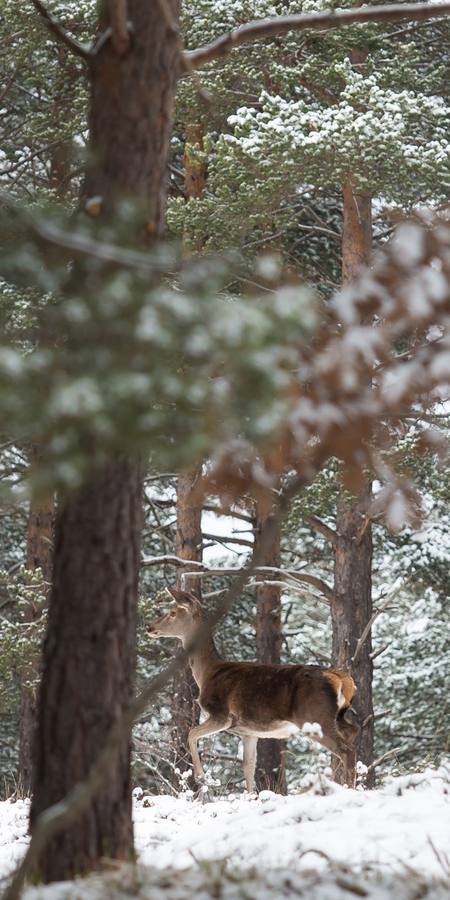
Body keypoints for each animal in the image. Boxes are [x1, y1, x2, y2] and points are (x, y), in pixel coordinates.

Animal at [148, 588, 358, 792]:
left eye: (172, 613)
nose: (149, 628)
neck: (207, 672)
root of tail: (341, 678)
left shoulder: (222, 715)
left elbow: (191, 733)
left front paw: (204, 778)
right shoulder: (249, 732)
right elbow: (249, 766)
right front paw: (250, 795)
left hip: (314, 715)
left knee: (345, 750)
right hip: (334, 716)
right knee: (352, 734)